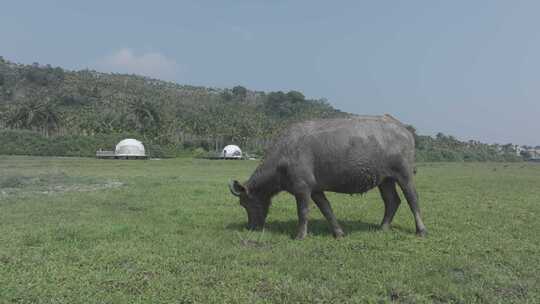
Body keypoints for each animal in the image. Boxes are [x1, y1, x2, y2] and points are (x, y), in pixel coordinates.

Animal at [228, 114, 426, 240]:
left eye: (246, 203)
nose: (250, 227)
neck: (283, 157)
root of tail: (404, 130)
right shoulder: (316, 190)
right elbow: (327, 210)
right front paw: (338, 233)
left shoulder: (302, 189)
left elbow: (303, 212)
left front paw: (300, 235)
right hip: (385, 179)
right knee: (392, 201)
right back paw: (382, 227)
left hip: (404, 174)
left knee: (412, 199)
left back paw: (421, 230)